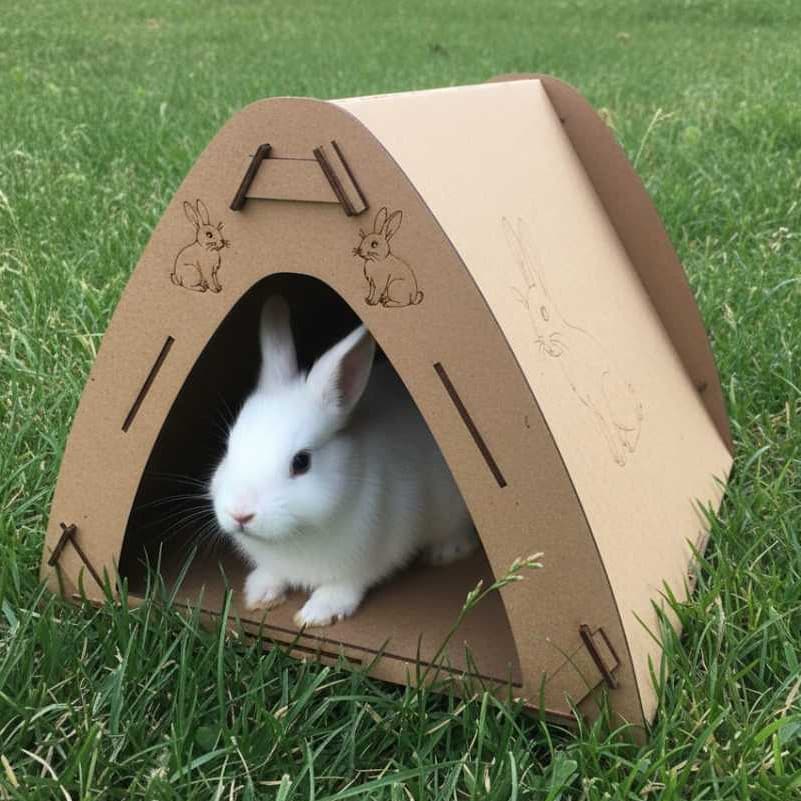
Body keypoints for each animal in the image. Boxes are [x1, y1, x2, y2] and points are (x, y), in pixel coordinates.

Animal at [210, 296, 477, 627]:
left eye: (301, 462)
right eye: (228, 447)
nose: (240, 514)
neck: (296, 535)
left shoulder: (363, 561)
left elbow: (344, 586)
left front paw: (315, 615)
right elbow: (273, 574)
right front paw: (259, 594)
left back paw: (445, 552)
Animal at [503, 217, 643, 466]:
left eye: (544, 313)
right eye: (528, 313)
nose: (548, 347)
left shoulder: (598, 399)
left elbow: (609, 428)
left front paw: (619, 459)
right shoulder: (591, 404)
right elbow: (604, 428)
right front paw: (618, 457)